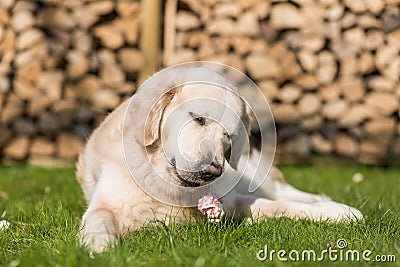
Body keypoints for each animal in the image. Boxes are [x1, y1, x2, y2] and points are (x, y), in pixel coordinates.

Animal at [76, 66, 362, 253]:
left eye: (228, 135)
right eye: (198, 118)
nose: (212, 171)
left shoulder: (234, 200)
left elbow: (281, 206)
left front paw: (337, 212)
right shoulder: (106, 204)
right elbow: (98, 220)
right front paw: (100, 247)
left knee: (287, 193)